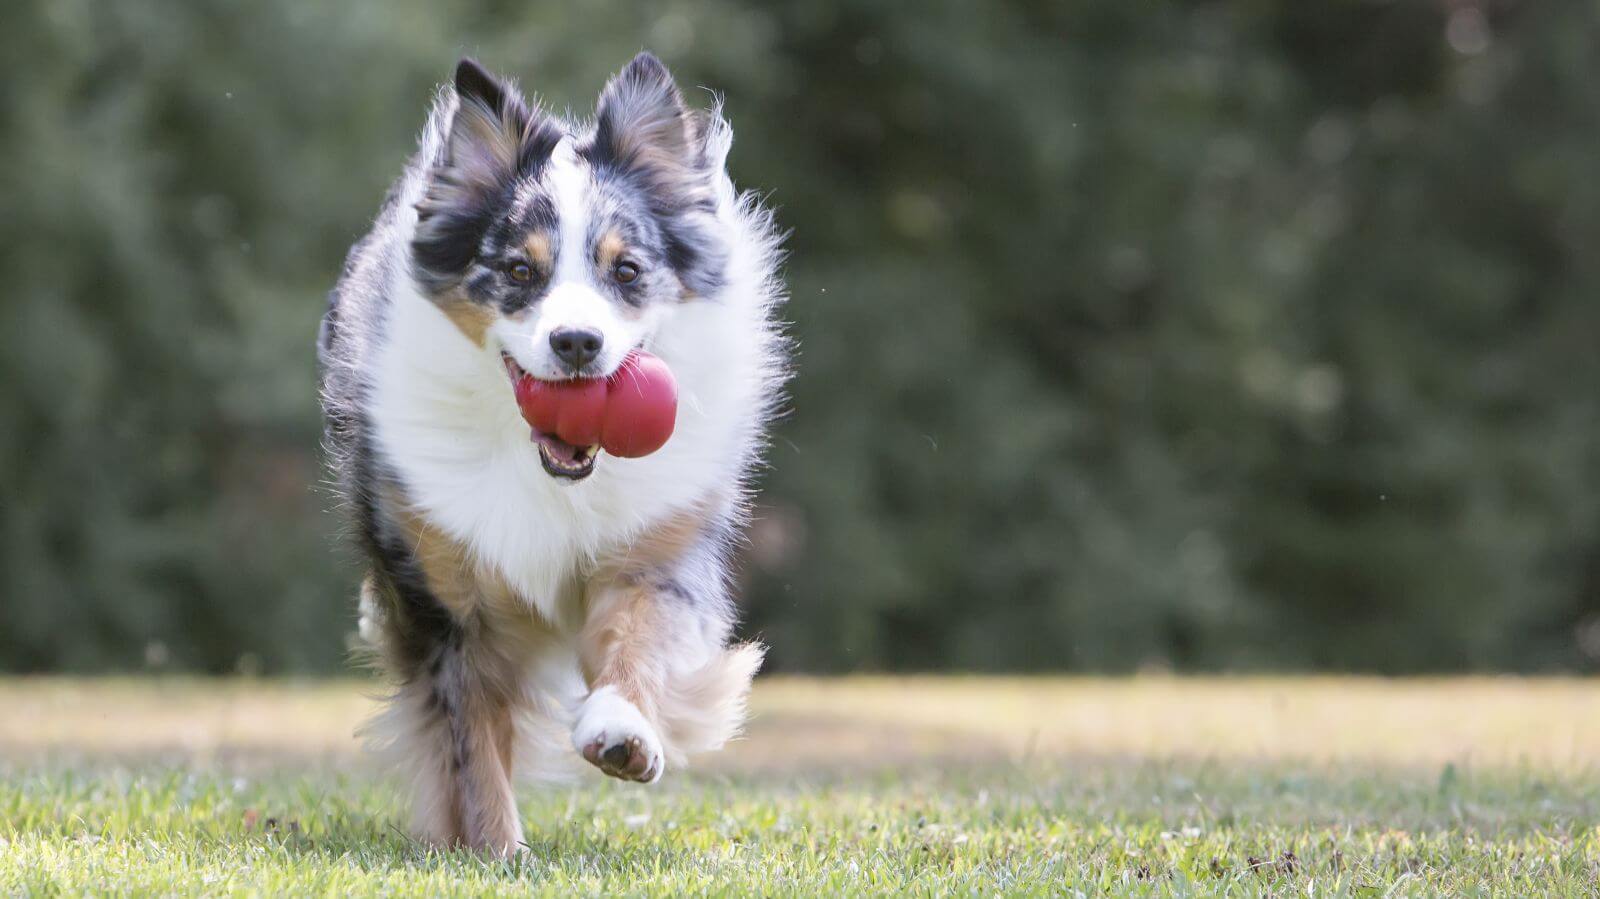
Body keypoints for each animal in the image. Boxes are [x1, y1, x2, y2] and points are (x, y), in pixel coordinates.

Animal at [315, 52, 784, 851]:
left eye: (626, 271)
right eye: (519, 271)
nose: (577, 343)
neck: (550, 471)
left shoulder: (657, 550)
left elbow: (637, 637)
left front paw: (624, 733)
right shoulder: (450, 602)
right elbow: (471, 740)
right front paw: (497, 849)